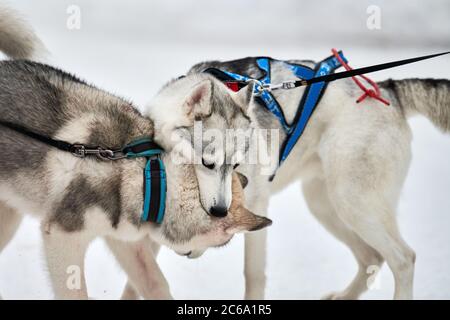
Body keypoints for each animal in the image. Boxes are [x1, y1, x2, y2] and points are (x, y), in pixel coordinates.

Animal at [0, 10, 270, 300]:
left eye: (237, 164)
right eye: (224, 241)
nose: (219, 209)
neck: (151, 178)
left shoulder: (124, 240)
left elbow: (155, 283)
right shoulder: (62, 237)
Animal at [143, 53, 446, 300]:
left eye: (236, 164)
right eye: (207, 162)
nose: (220, 210)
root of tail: (386, 89)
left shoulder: (256, 209)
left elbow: (253, 275)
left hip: (354, 205)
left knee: (404, 259)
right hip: (325, 205)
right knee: (371, 257)